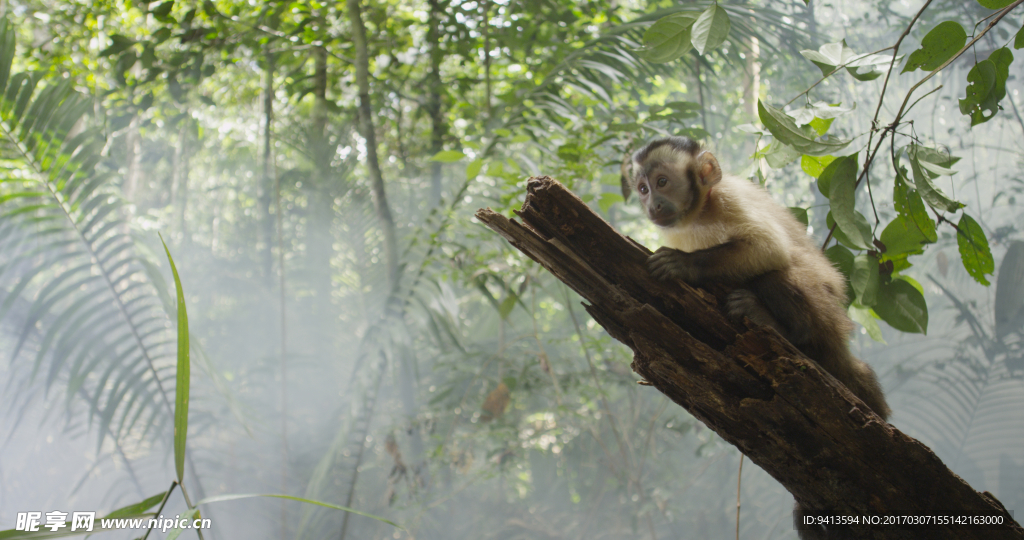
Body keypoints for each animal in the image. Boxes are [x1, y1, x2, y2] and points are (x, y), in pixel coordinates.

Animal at [622, 138, 888, 540]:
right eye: (642, 188)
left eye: (662, 182)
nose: (652, 203)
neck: (700, 214)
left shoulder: (729, 199)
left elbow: (767, 249)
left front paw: (685, 265)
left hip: (825, 310)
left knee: (777, 270)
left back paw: (782, 329)